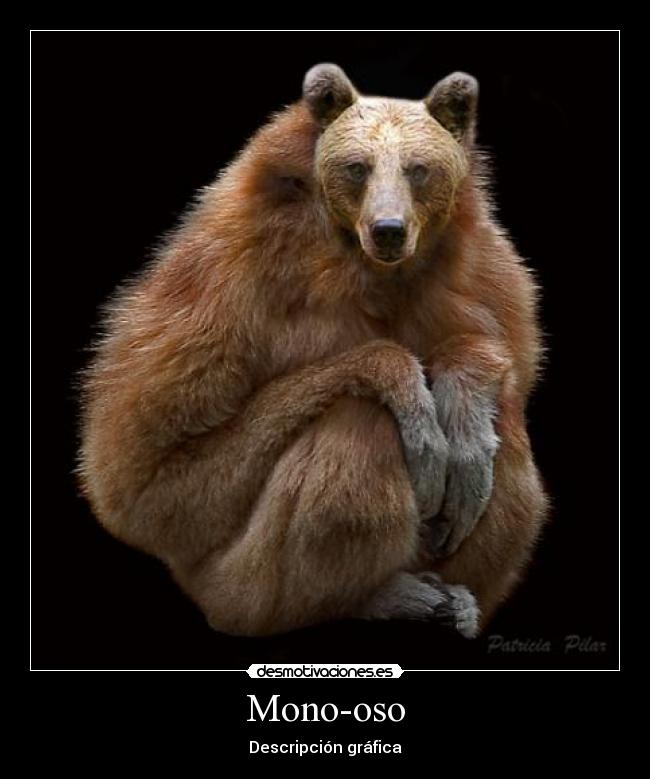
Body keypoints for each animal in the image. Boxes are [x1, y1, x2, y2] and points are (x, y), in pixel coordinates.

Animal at [78, 64, 548, 639]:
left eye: (418, 169)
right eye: (357, 167)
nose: (388, 230)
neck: (366, 272)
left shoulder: (485, 273)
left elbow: (508, 354)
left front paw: (463, 428)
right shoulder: (228, 280)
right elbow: (146, 476)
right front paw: (411, 403)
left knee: (509, 427)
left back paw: (455, 596)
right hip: (240, 580)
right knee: (355, 432)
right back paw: (383, 596)